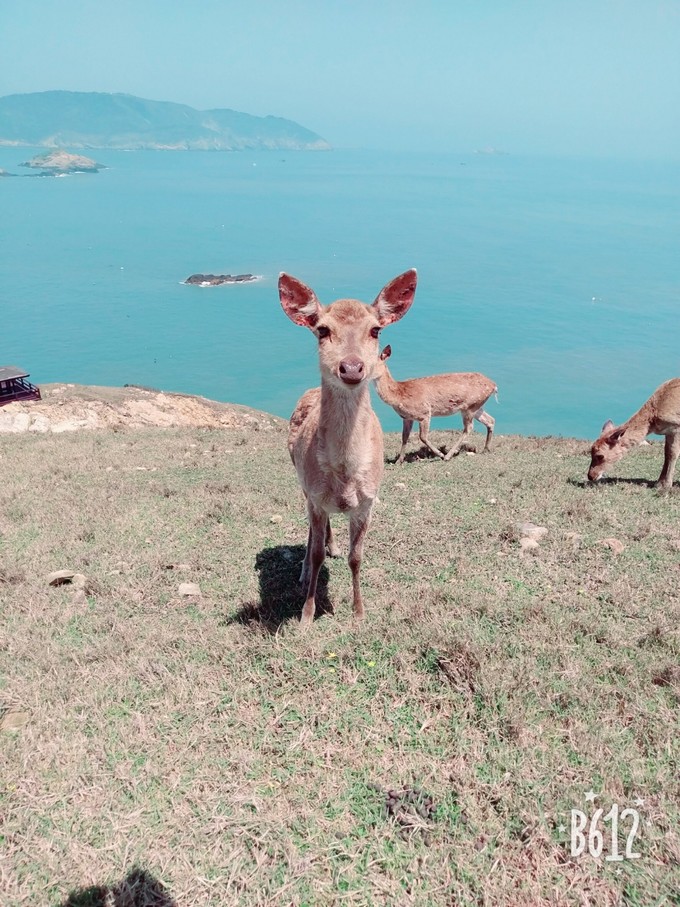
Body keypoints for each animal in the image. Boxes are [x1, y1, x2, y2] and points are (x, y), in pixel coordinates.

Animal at [278, 268, 418, 624]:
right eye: (322, 330)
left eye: (376, 329)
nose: (352, 367)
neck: (344, 474)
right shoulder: (315, 494)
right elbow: (315, 554)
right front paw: (307, 614)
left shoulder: (369, 500)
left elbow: (358, 557)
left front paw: (359, 611)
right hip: (301, 482)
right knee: (311, 530)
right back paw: (305, 571)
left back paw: (335, 547)